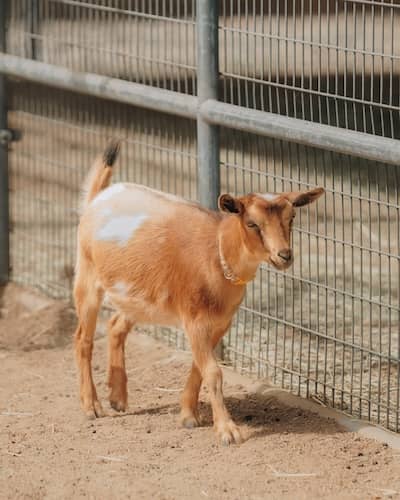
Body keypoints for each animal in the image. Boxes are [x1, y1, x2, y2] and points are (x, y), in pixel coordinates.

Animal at [75, 142, 324, 446]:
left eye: (292, 217)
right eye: (252, 224)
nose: (284, 256)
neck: (216, 255)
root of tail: (99, 197)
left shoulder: (219, 323)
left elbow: (199, 368)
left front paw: (189, 416)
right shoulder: (194, 319)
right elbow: (213, 372)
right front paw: (228, 431)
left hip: (138, 296)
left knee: (116, 326)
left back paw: (118, 398)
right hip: (87, 276)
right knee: (83, 339)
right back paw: (92, 406)